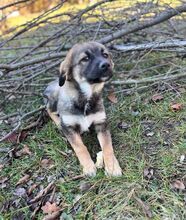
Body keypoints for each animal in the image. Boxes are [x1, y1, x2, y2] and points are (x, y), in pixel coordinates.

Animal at [43, 41, 122, 177]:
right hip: (53, 99)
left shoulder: (101, 123)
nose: (106, 64)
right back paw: (57, 122)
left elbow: (107, 146)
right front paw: (89, 167)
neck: (86, 97)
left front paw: (112, 167)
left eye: (105, 55)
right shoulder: (69, 127)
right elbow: (80, 147)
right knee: (47, 109)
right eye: (85, 59)